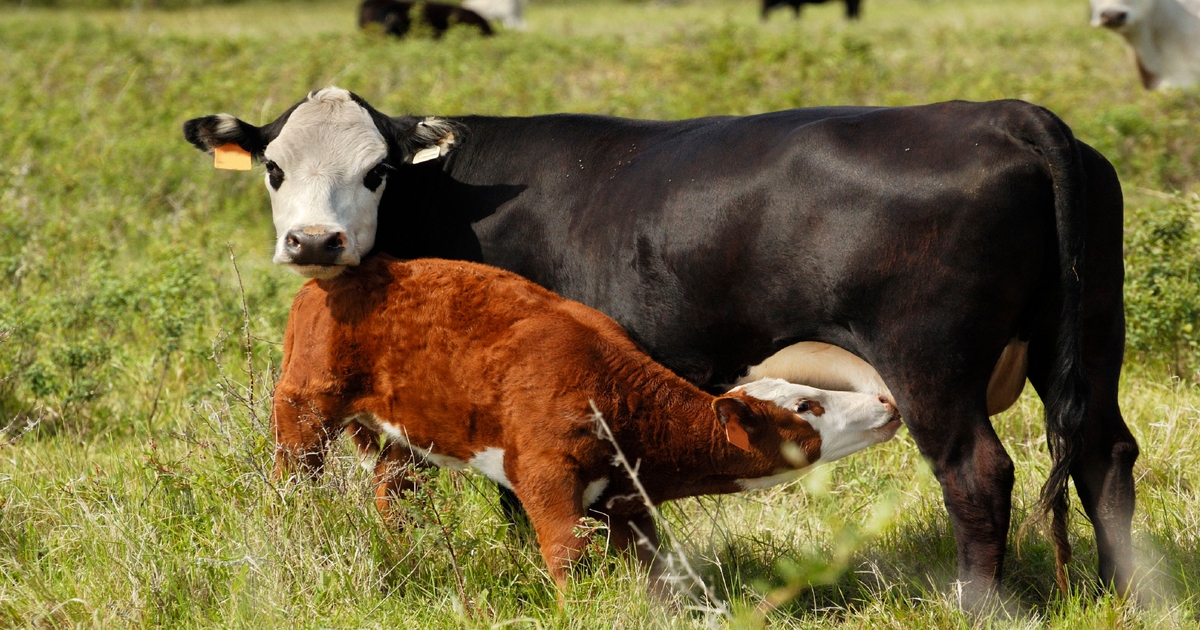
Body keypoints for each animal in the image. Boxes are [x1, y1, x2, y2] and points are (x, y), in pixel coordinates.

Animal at [274, 253, 902, 588]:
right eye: (805, 406)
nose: (885, 405)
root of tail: (349, 273)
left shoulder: (628, 504)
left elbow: (652, 570)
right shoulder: (545, 473)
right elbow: (567, 556)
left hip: (407, 433)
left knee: (391, 485)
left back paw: (412, 544)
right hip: (305, 403)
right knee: (293, 475)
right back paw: (296, 528)